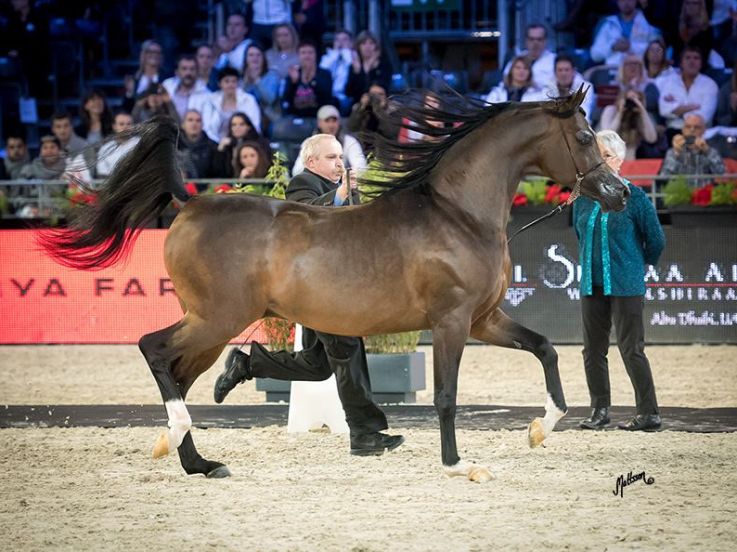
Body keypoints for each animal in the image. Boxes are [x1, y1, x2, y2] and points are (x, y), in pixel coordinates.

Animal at [40, 87, 629, 482]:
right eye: (583, 136)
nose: (619, 192)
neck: (458, 214)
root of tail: (189, 203)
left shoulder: (485, 319)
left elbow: (545, 348)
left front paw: (541, 427)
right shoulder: (452, 321)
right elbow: (445, 394)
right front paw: (456, 462)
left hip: (210, 327)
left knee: (181, 372)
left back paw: (200, 462)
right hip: (215, 318)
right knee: (153, 349)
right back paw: (181, 440)